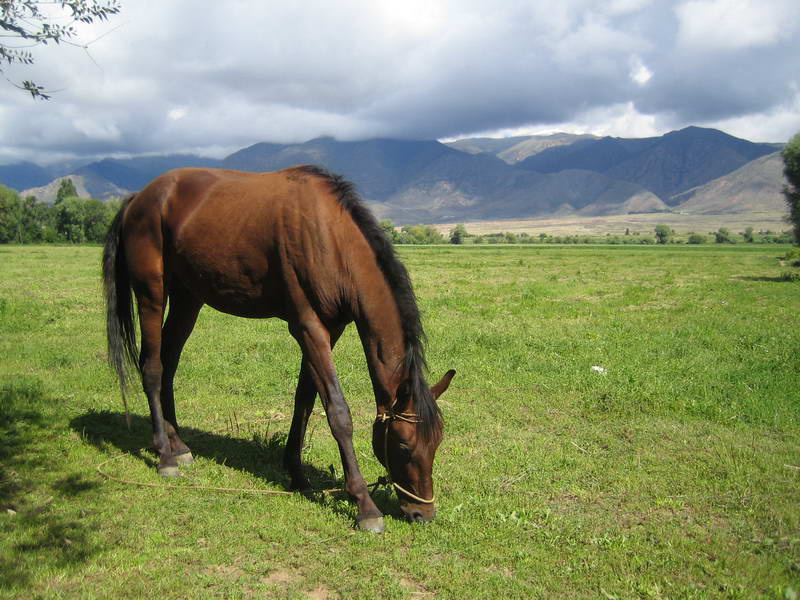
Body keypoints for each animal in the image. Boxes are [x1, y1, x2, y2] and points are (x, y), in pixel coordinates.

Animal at [102, 165, 455, 533]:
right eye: (403, 444)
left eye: (437, 441)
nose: (422, 513)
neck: (330, 238)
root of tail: (139, 198)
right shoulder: (308, 328)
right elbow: (338, 413)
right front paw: (364, 504)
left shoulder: (329, 330)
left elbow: (306, 400)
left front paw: (297, 474)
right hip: (152, 294)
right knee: (152, 367)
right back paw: (164, 454)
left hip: (188, 299)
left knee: (169, 363)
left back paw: (179, 444)